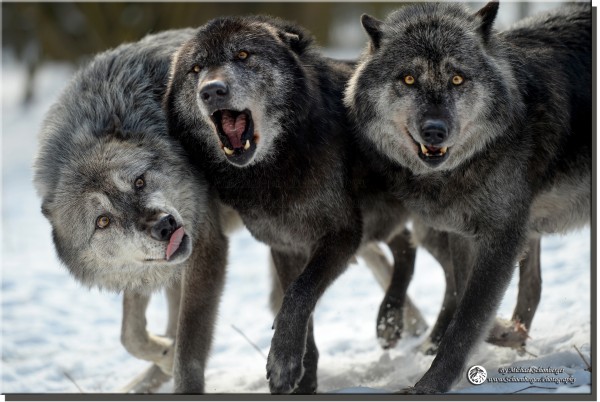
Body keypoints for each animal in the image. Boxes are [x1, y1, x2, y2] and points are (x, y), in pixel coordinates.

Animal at [165, 14, 426, 392]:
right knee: (405, 244)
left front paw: (284, 362)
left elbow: (299, 296)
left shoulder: (342, 234)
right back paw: (389, 321)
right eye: (196, 69)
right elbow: (302, 308)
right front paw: (304, 377)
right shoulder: (285, 245)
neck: (275, 170)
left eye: (243, 55)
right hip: (381, 221)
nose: (211, 90)